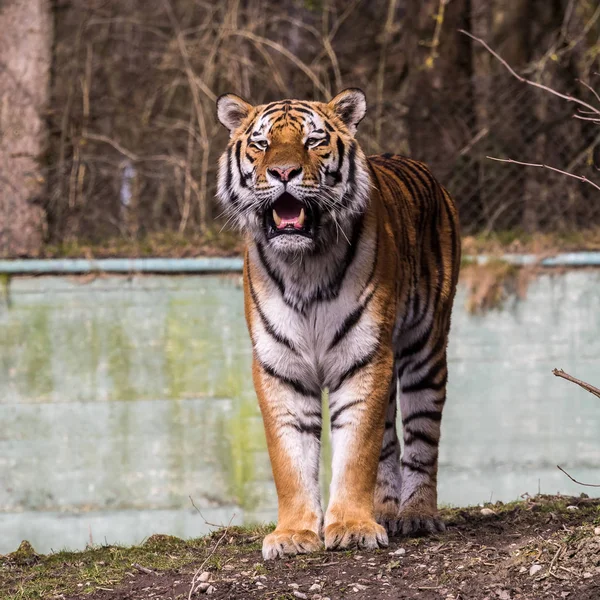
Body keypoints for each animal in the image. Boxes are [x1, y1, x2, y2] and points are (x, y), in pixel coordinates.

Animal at [218, 88, 462, 556]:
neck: (304, 264)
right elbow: (291, 458)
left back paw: (417, 514)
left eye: (313, 141)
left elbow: (356, 451)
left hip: (425, 349)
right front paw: (294, 534)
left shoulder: (364, 357)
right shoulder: (281, 367)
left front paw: (351, 526)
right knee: (388, 443)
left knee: (421, 437)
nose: (283, 172)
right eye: (261, 144)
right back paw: (385, 511)